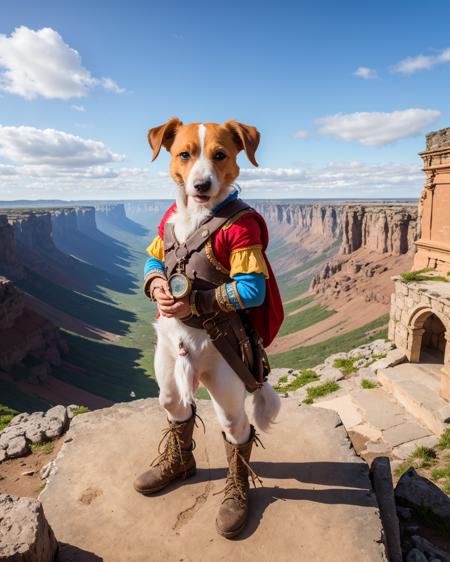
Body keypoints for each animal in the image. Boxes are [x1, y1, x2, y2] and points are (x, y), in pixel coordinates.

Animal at [134, 117, 286, 532]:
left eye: (220, 155)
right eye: (184, 154)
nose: (201, 185)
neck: (196, 219)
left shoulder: (246, 241)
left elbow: (244, 288)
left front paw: (186, 300)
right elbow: (154, 265)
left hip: (228, 381)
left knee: (237, 431)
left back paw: (236, 500)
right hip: (172, 366)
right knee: (176, 405)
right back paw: (178, 465)